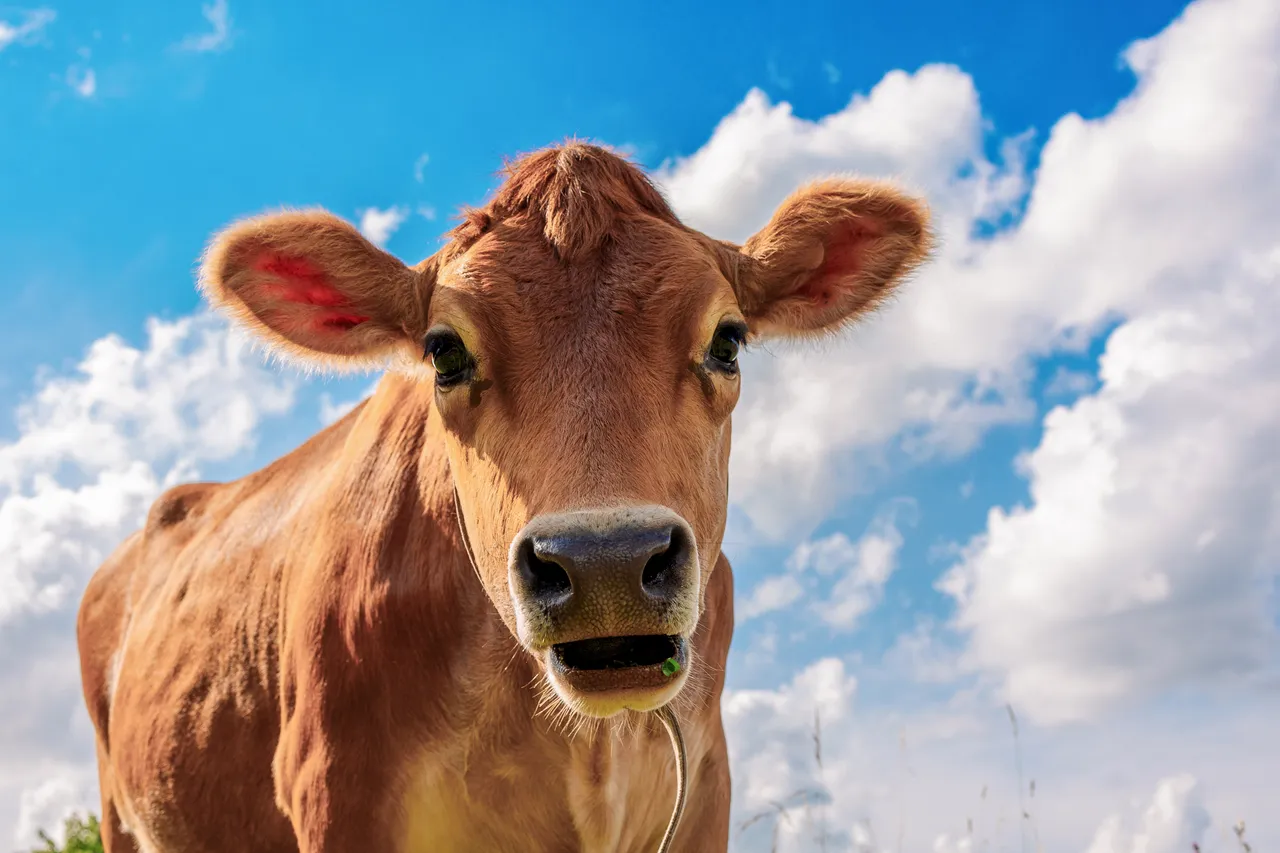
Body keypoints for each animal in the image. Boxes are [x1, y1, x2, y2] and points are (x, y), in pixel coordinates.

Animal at [75, 142, 930, 853]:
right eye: (443, 351)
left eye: (729, 338)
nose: (606, 564)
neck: (584, 746)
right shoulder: (334, 786)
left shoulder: (707, 789)